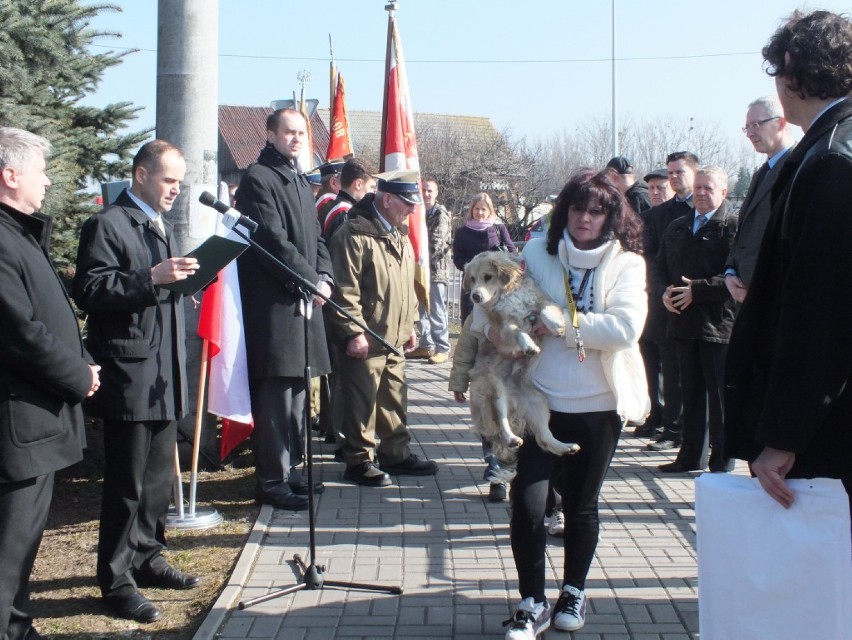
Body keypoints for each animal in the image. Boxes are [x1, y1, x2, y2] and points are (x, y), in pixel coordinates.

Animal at [466, 250, 580, 460]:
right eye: (471, 279)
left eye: (487, 277)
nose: (475, 296)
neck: (508, 295)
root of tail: (516, 402)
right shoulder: (504, 327)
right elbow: (519, 332)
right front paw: (529, 346)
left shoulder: (540, 301)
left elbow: (546, 310)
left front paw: (555, 325)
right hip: (495, 391)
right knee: (502, 421)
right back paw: (511, 438)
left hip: (539, 404)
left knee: (544, 438)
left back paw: (565, 447)